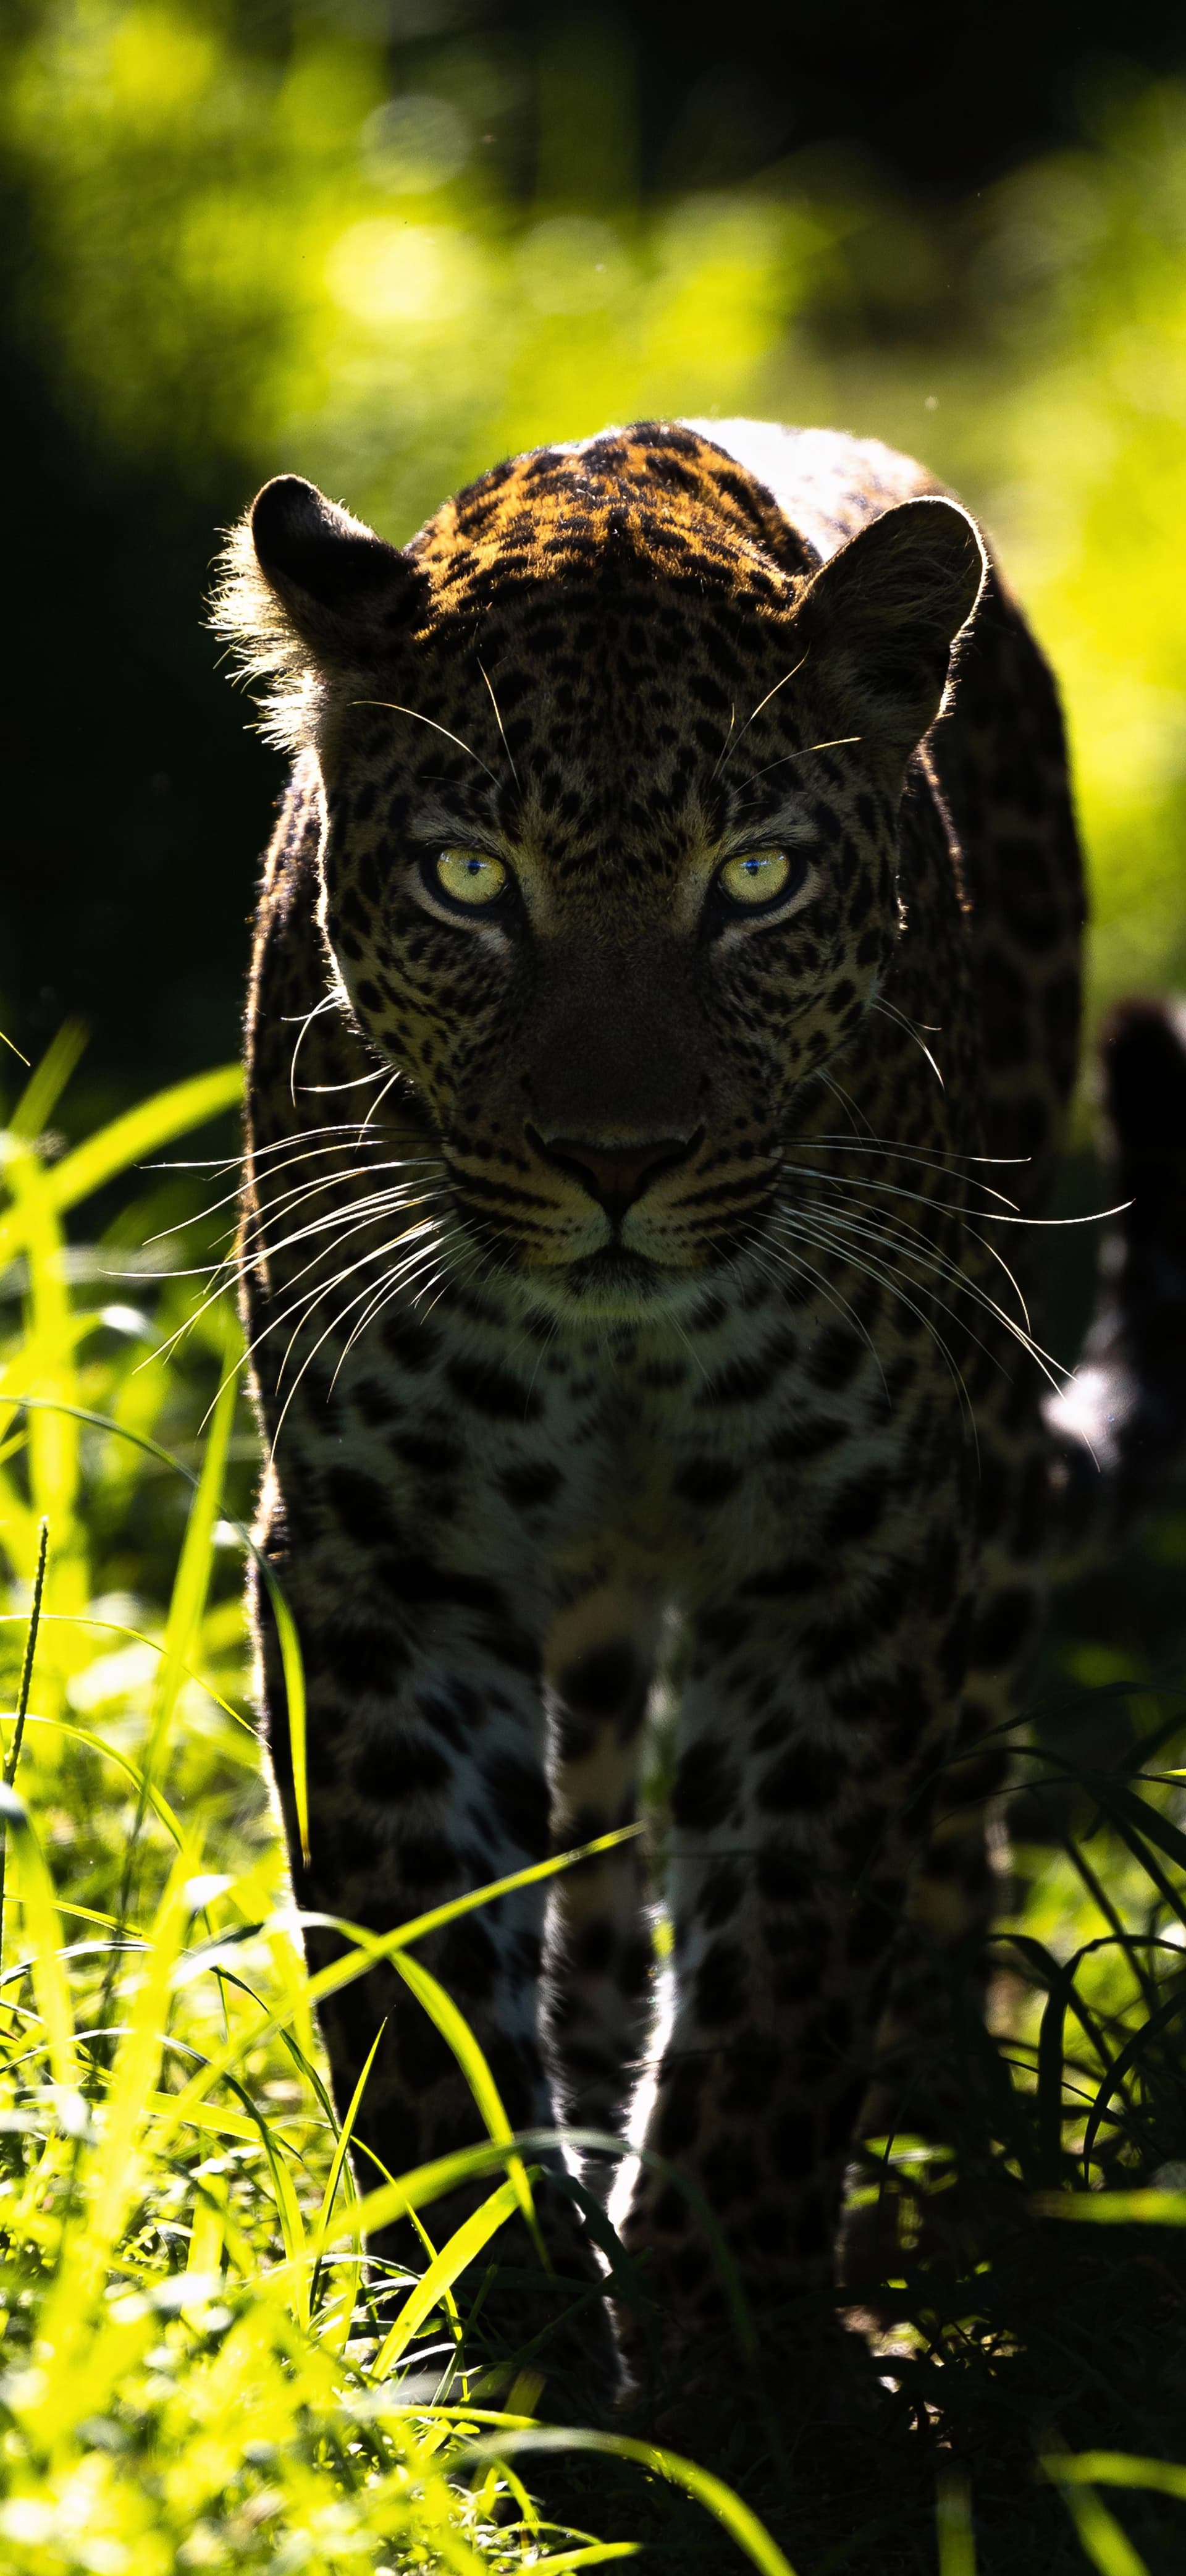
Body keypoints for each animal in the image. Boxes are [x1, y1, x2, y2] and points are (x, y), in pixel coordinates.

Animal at [213, 416, 1186, 2428]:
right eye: (468, 878)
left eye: (752, 880)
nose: (616, 1162)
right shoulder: (385, 1553)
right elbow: (424, 1954)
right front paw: (493, 2331)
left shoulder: (845, 1557)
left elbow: (784, 1962)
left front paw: (730, 2344)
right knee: (591, 1849)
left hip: (977, 1517)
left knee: (947, 1835)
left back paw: (943, 2112)